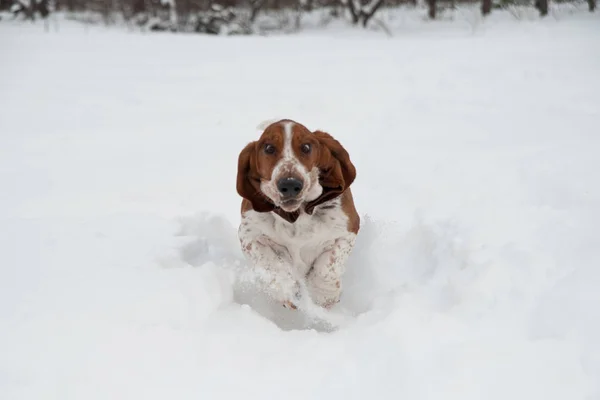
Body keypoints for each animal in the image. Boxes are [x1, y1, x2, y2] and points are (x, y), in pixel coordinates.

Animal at [234, 119, 358, 310]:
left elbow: (328, 264)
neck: (297, 215)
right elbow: (270, 261)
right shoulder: (249, 236)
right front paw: (287, 288)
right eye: (269, 148)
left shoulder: (347, 230)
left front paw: (323, 294)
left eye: (306, 147)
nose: (290, 184)